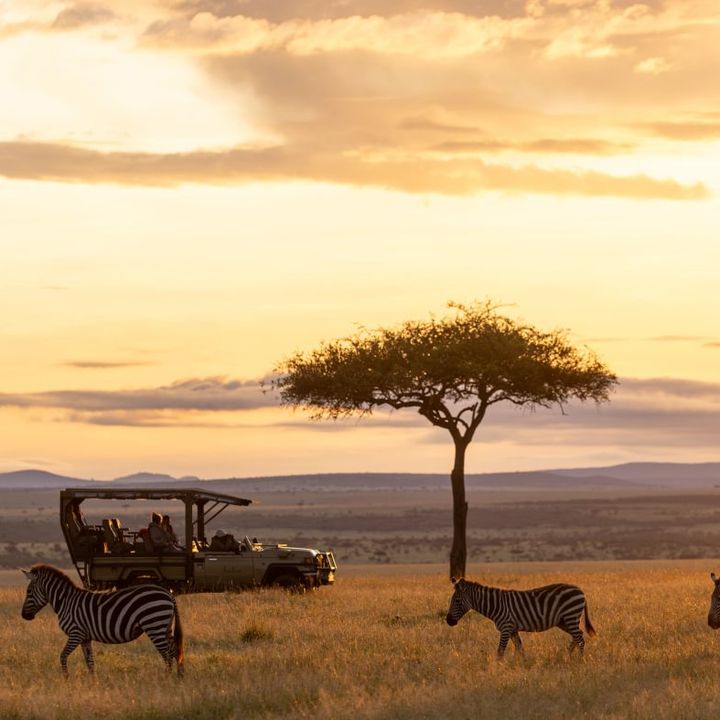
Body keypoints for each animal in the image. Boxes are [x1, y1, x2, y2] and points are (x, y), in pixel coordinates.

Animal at [21, 564, 184, 677]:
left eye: (28, 591)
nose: (24, 616)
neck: (66, 602)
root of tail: (168, 594)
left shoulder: (75, 633)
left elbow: (62, 656)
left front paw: (66, 678)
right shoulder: (85, 637)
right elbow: (90, 662)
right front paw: (93, 682)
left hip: (154, 624)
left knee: (167, 654)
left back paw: (166, 679)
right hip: (165, 626)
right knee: (175, 650)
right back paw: (179, 678)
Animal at [445, 577, 595, 658]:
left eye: (457, 601)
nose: (448, 621)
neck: (495, 605)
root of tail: (581, 590)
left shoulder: (506, 628)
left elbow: (500, 651)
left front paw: (498, 669)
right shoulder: (513, 629)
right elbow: (520, 649)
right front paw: (525, 664)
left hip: (570, 616)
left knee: (580, 638)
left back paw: (580, 660)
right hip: (564, 621)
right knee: (578, 635)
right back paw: (567, 655)